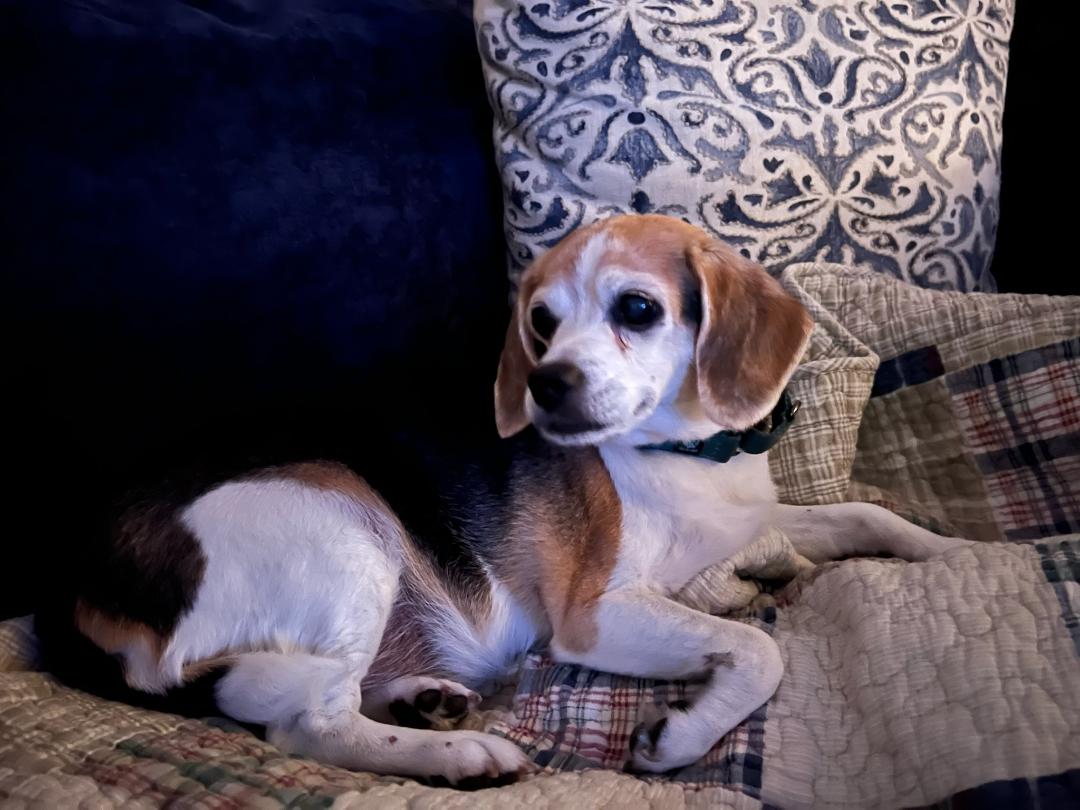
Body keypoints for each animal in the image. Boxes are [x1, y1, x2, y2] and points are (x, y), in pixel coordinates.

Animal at [38, 216, 972, 786]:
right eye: (542, 324)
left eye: (638, 308)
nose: (546, 385)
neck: (681, 455)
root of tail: (80, 584)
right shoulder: (596, 617)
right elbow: (756, 647)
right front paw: (682, 735)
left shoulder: (759, 525)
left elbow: (865, 517)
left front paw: (957, 550)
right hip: (341, 518)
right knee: (308, 721)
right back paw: (461, 752)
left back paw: (427, 701)